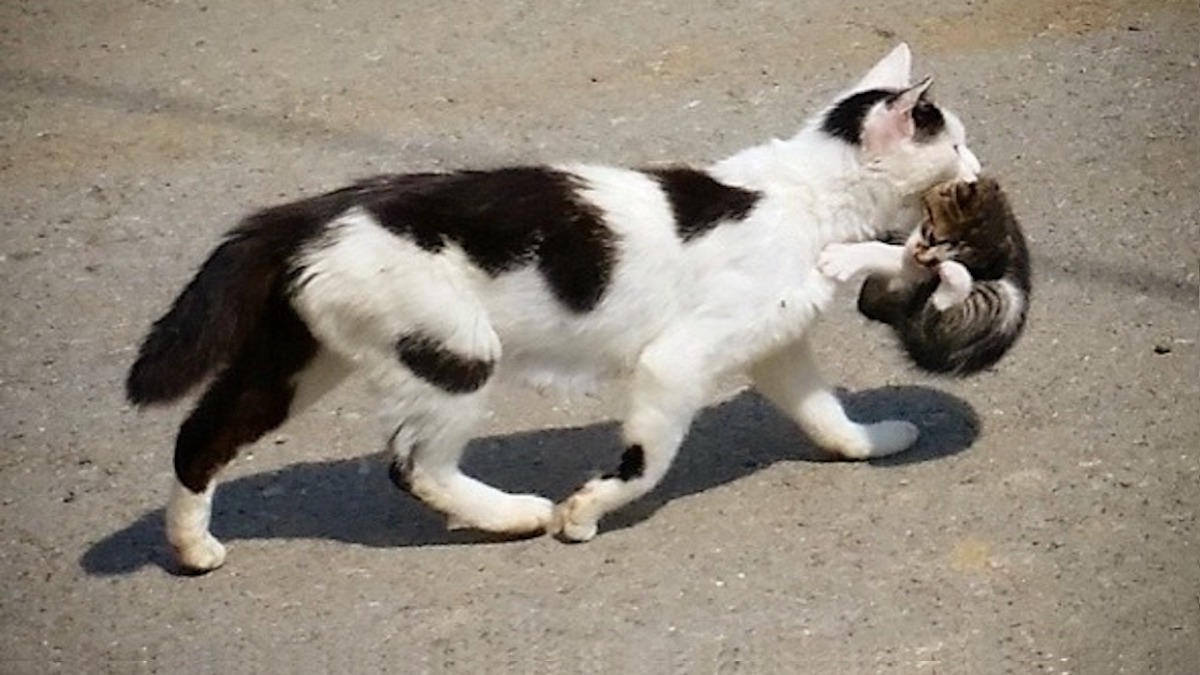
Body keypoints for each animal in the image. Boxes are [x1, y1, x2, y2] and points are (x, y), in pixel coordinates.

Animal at [126, 43, 979, 566]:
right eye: (955, 141)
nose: (977, 168)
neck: (807, 198)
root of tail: (306, 211)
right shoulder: (675, 364)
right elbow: (645, 461)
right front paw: (585, 510)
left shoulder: (776, 348)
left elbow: (825, 415)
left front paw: (874, 440)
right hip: (457, 351)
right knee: (414, 465)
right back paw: (514, 514)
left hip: (305, 359)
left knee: (201, 436)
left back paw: (191, 548)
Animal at [816, 174, 1032, 372]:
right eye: (932, 236)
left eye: (939, 255)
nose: (926, 261)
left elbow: (888, 254)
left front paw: (842, 257)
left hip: (991, 303)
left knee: (938, 319)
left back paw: (952, 276)